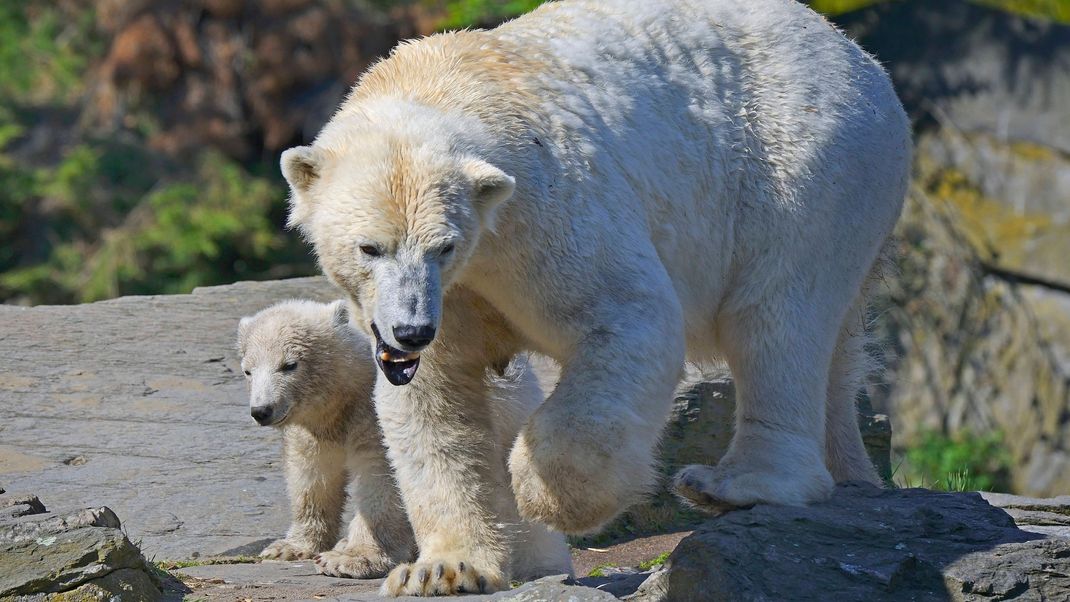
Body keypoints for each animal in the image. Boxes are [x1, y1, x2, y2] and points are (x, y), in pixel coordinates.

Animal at [280, 0, 907, 594]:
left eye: (444, 245)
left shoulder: (544, 214)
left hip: (801, 158)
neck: (448, 79)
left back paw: (731, 483)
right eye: (370, 248)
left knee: (775, 315)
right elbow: (435, 400)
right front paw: (443, 569)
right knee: (833, 341)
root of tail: (858, 56)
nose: (410, 331)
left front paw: (547, 496)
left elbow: (629, 317)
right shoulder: (449, 296)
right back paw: (851, 471)